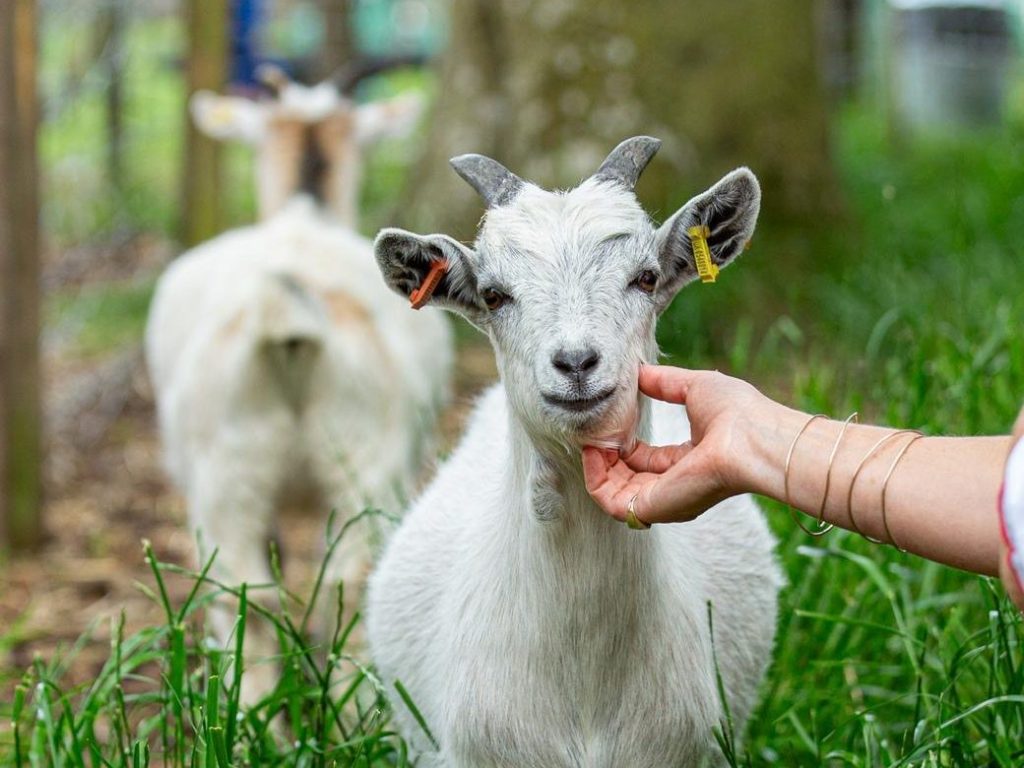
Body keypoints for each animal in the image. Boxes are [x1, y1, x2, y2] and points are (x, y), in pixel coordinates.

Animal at [145, 67, 452, 704]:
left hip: (229, 471)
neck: (303, 215)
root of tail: (285, 318)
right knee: (343, 581)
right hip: (365, 462)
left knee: (248, 593)